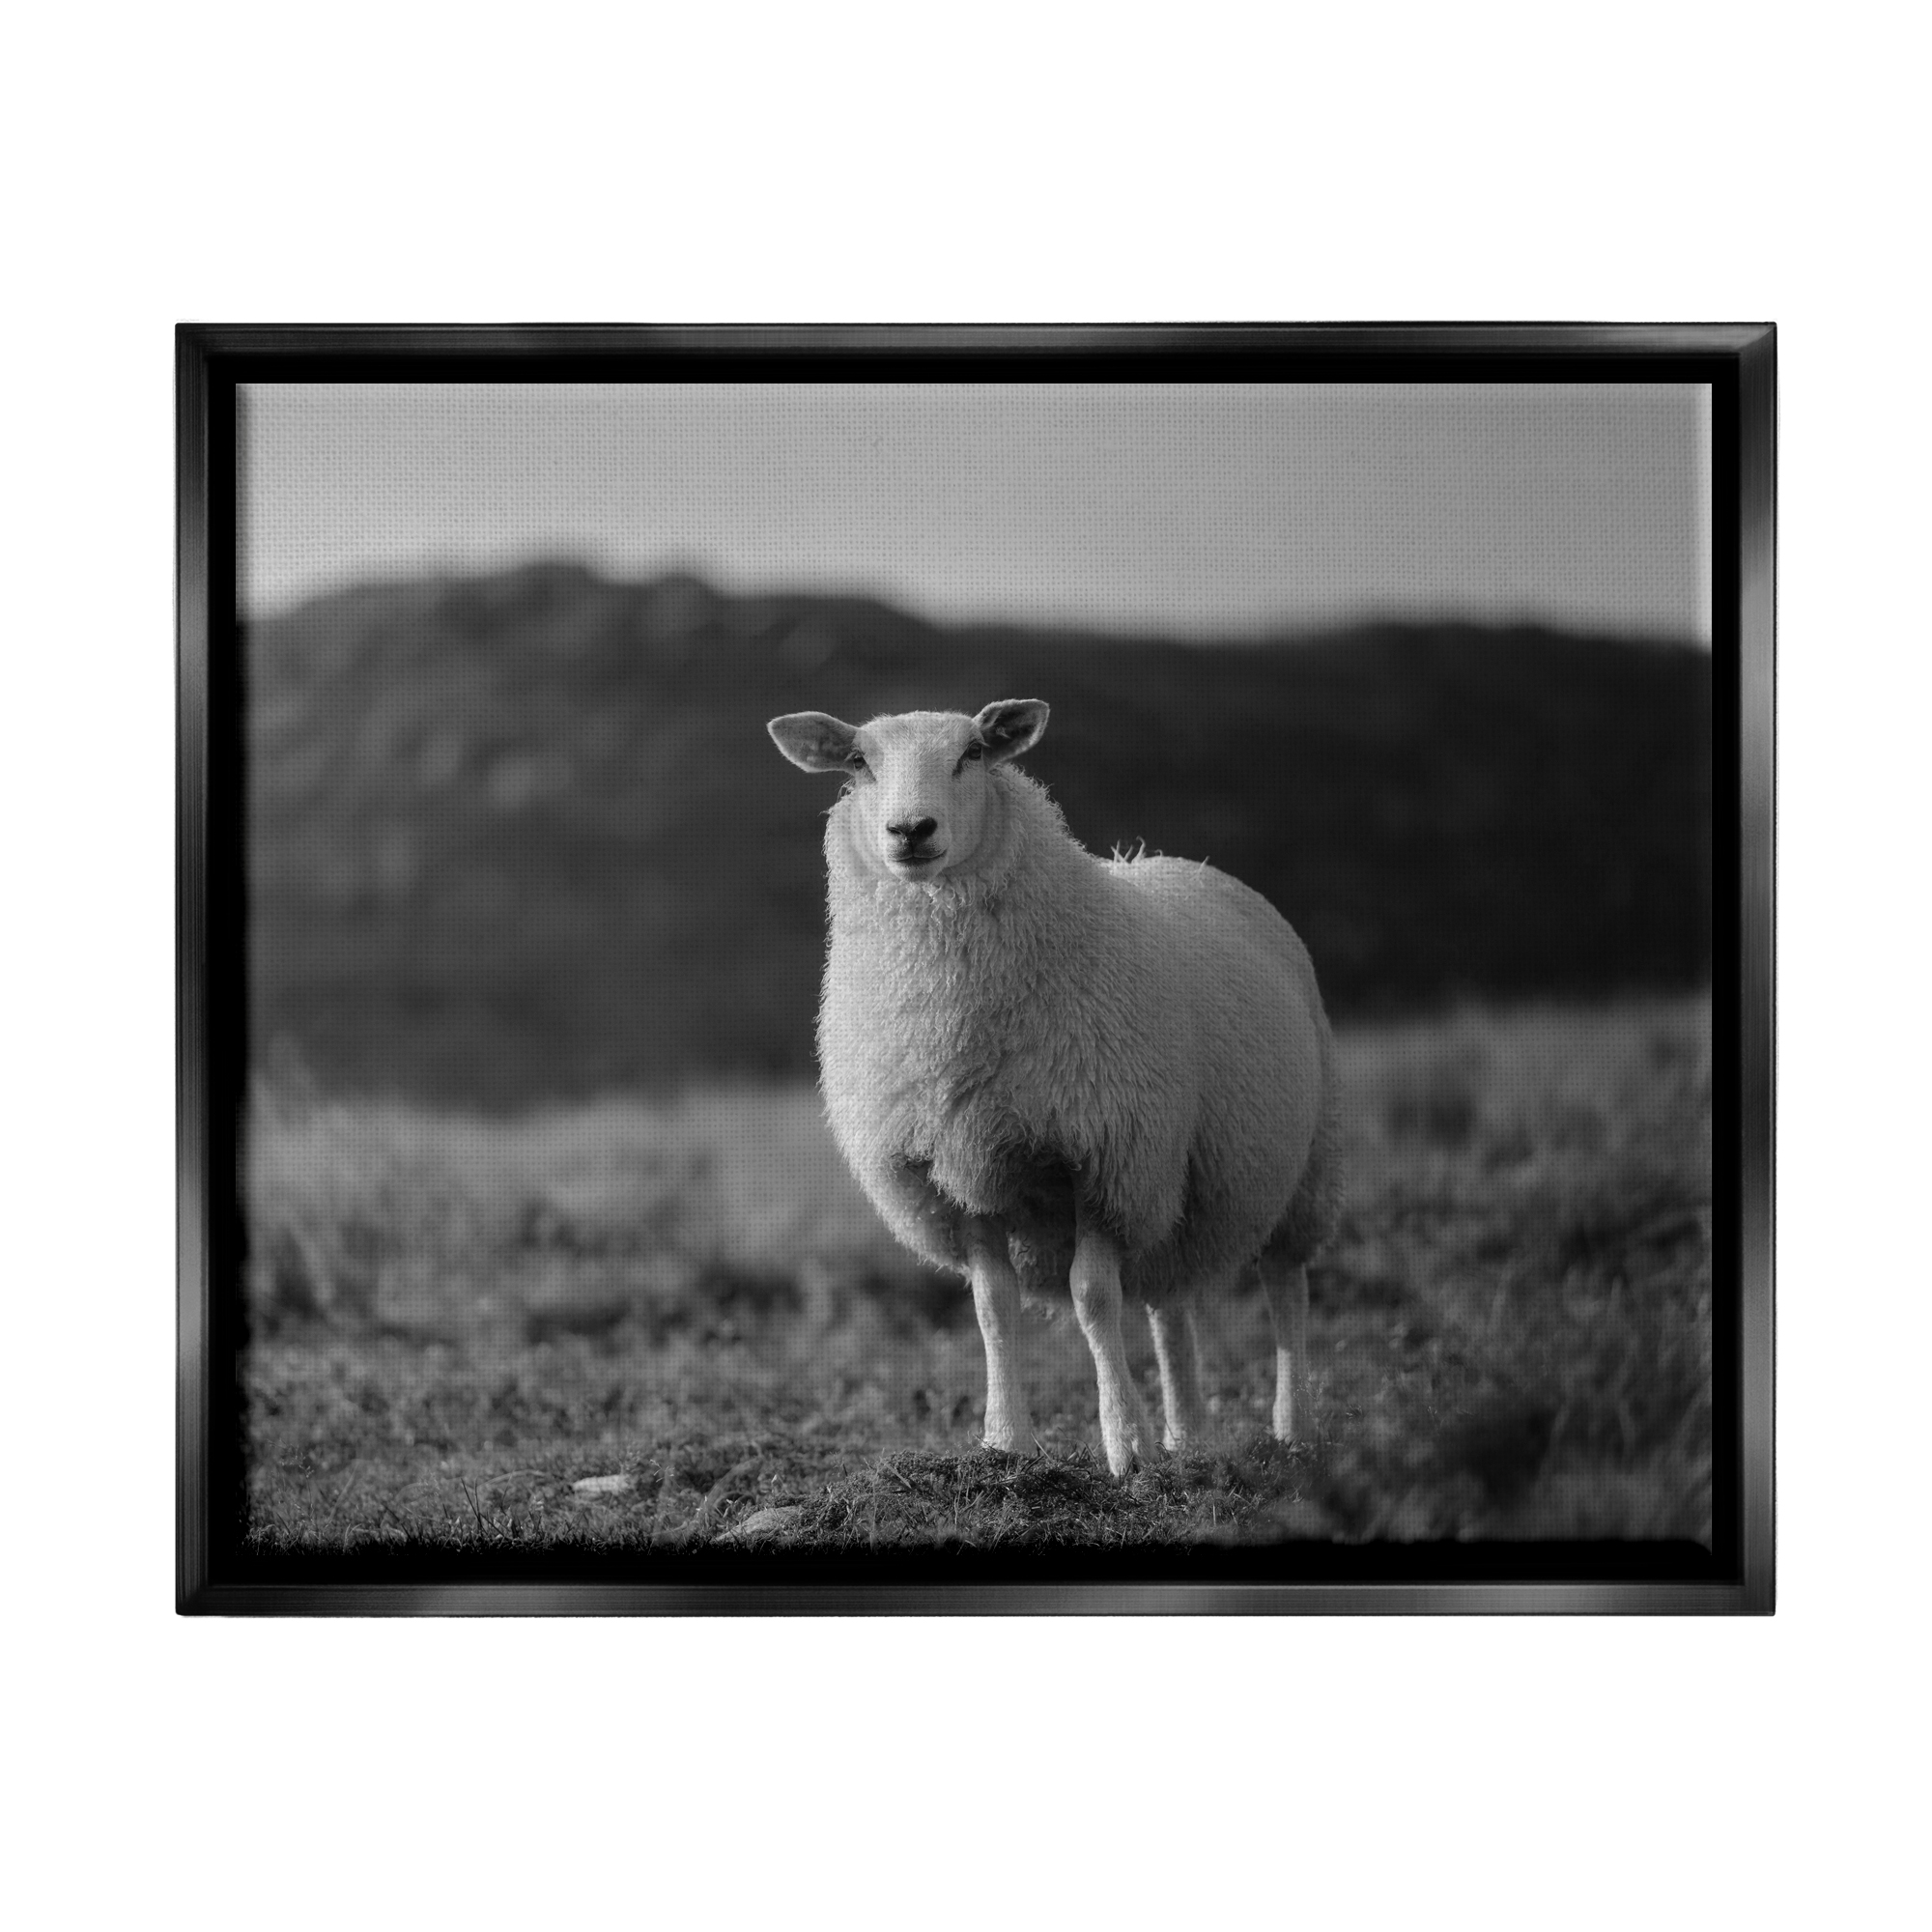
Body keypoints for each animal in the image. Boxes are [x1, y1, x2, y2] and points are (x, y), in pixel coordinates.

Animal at [766, 698, 1342, 1477]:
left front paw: (1125, 1445)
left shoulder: (1101, 1159)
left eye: (973, 754)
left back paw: (1293, 1427)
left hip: (1300, 1164)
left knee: (1286, 1288)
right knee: (1169, 1304)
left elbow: (1093, 1298)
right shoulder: (957, 1174)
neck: (947, 1018)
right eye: (859, 762)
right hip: (1171, 1179)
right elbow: (993, 1308)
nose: (911, 830)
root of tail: (1185, 865)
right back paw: (1188, 1436)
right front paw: (1005, 1442)